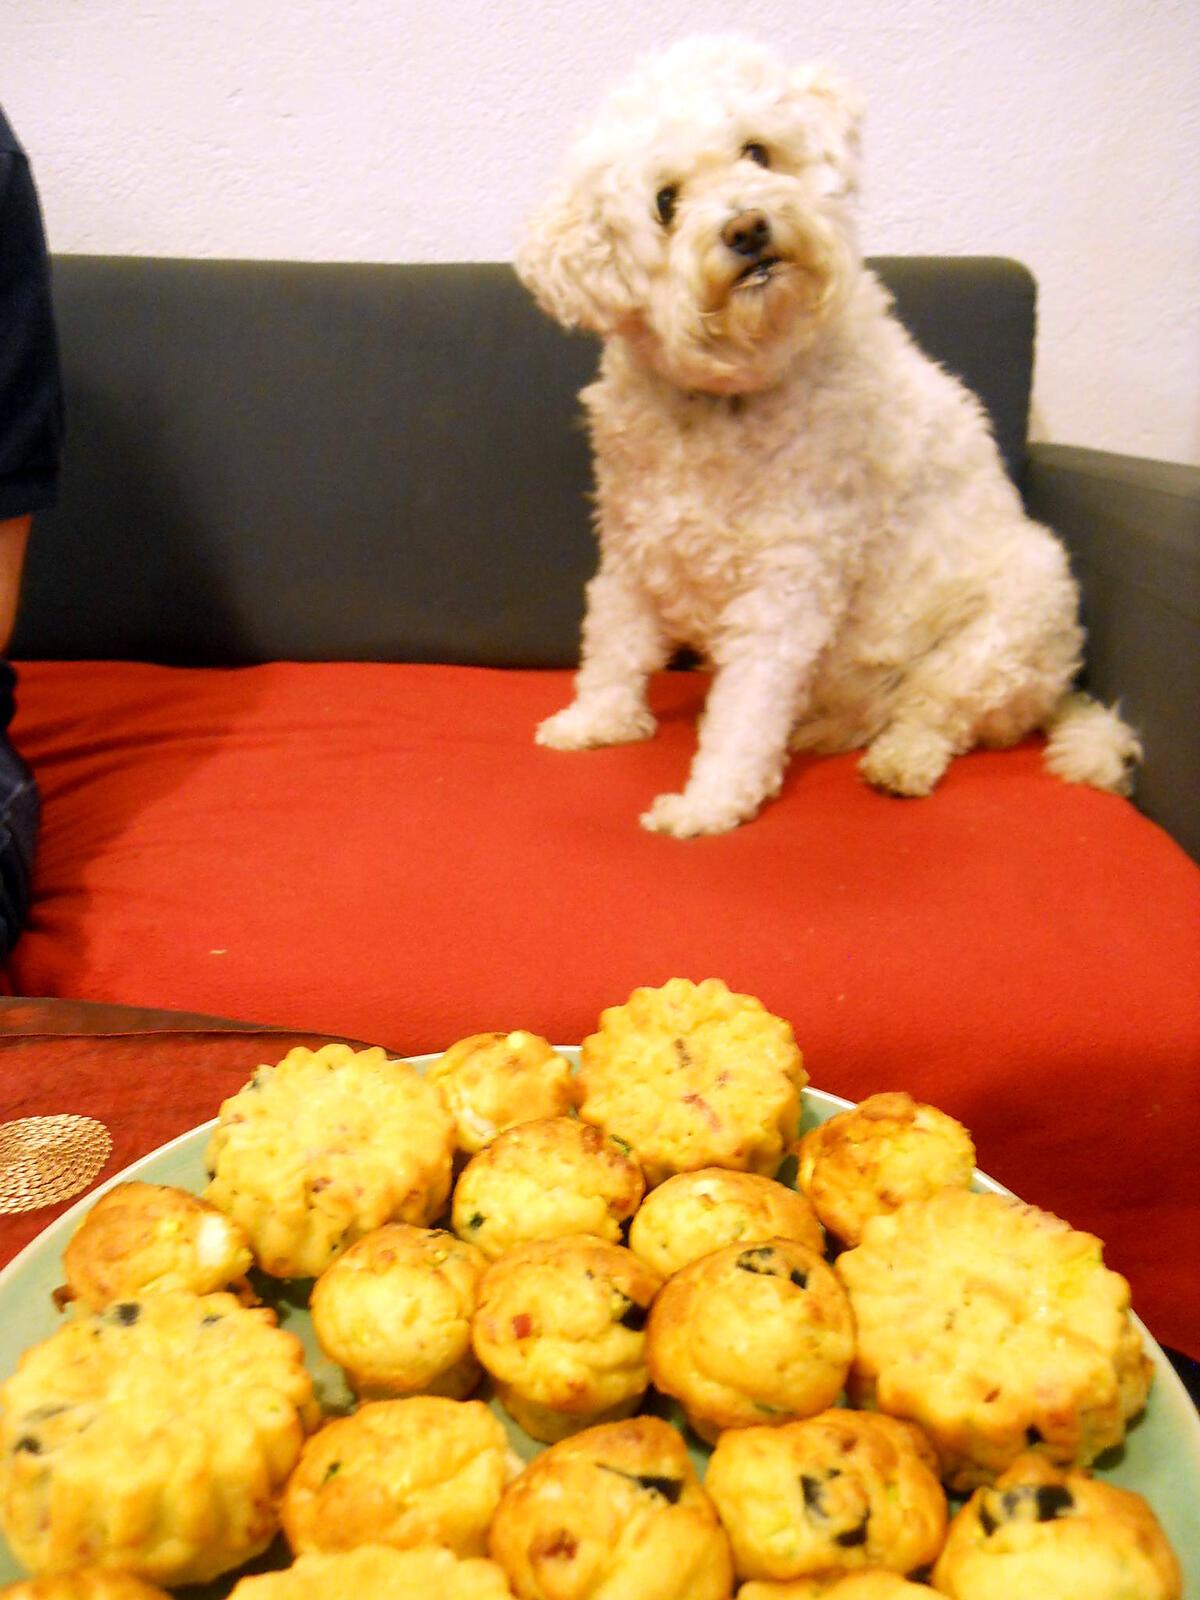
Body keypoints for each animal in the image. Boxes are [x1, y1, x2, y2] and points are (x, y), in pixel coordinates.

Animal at [521, 34, 1139, 838]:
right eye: (665, 201)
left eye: (757, 151)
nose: (747, 227)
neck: (725, 399)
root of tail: (1060, 687)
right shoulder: (632, 542)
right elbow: (613, 644)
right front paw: (594, 722)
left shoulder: (786, 585)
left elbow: (744, 713)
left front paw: (710, 803)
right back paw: (819, 731)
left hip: (1020, 607)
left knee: (938, 714)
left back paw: (899, 762)